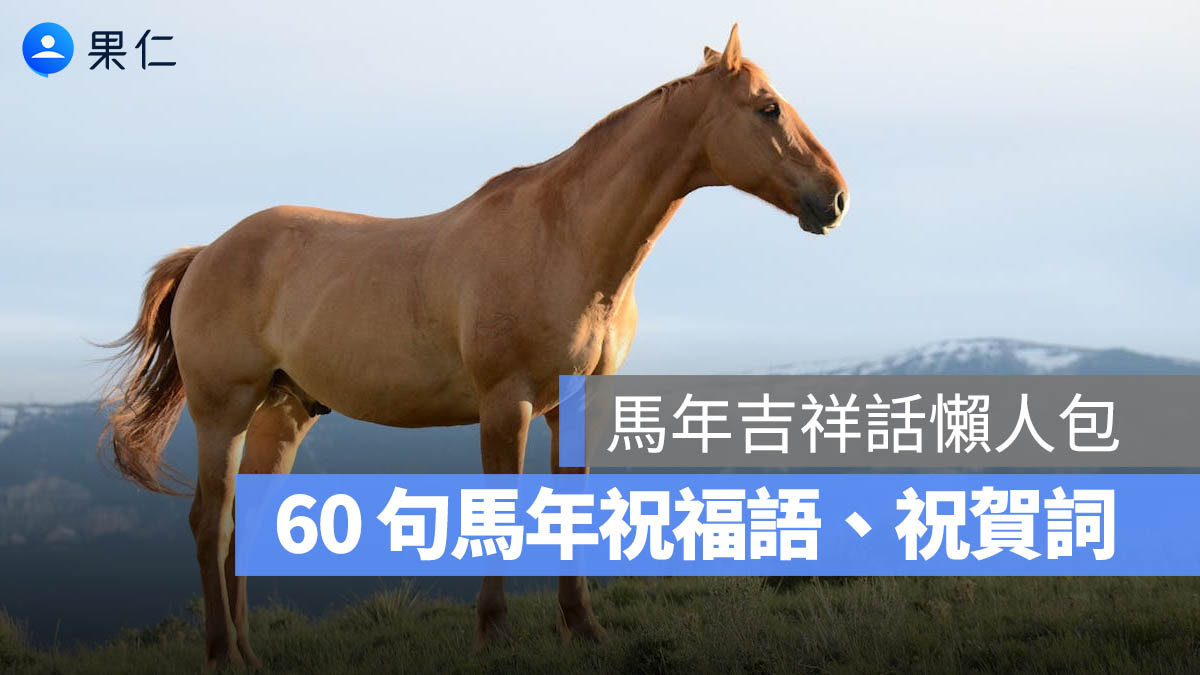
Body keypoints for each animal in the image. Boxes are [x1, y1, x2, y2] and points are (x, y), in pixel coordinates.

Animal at [100, 25, 846, 668]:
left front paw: (584, 629)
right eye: (768, 108)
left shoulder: (574, 408)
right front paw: (495, 635)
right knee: (210, 521)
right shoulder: (504, 405)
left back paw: (251, 655)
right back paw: (222, 654)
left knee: (243, 526)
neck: (563, 239)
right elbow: (504, 510)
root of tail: (207, 253)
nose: (835, 198)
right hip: (223, 410)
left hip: (281, 415)